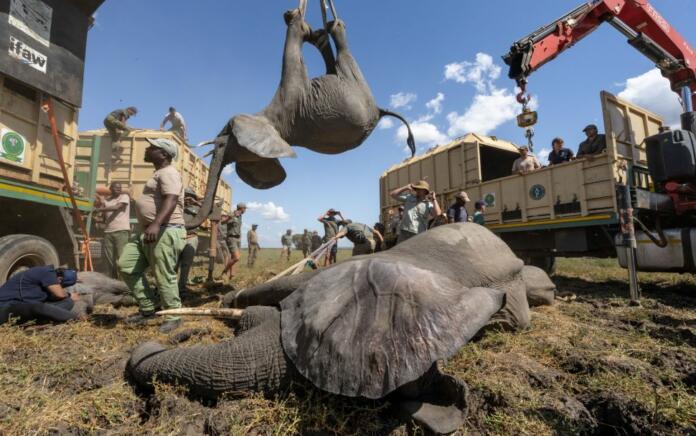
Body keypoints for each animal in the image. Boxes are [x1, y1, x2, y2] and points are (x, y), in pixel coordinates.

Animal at [189, 0, 414, 230]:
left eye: (223, 140)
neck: (272, 123)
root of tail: (379, 110)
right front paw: (307, 28)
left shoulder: (292, 94)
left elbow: (292, 55)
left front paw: (297, 20)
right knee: (336, 61)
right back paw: (323, 34)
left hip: (356, 82)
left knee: (341, 52)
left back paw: (330, 28)